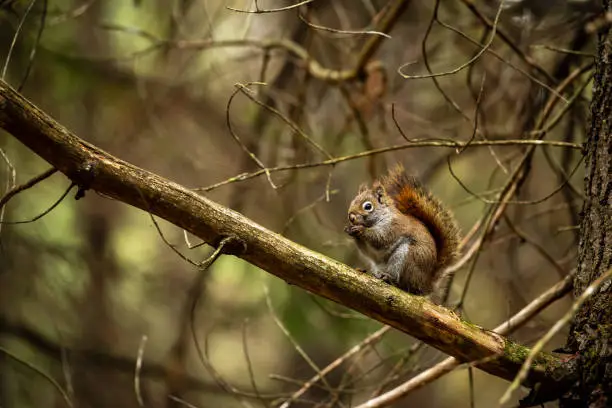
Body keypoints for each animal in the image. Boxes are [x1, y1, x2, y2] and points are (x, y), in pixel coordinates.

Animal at [344, 164, 460, 304]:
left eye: (368, 206)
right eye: (353, 201)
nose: (351, 217)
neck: (382, 216)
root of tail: (424, 284)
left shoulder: (393, 227)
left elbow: (380, 239)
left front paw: (361, 230)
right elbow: (368, 252)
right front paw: (349, 229)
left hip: (406, 257)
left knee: (402, 283)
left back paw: (388, 278)